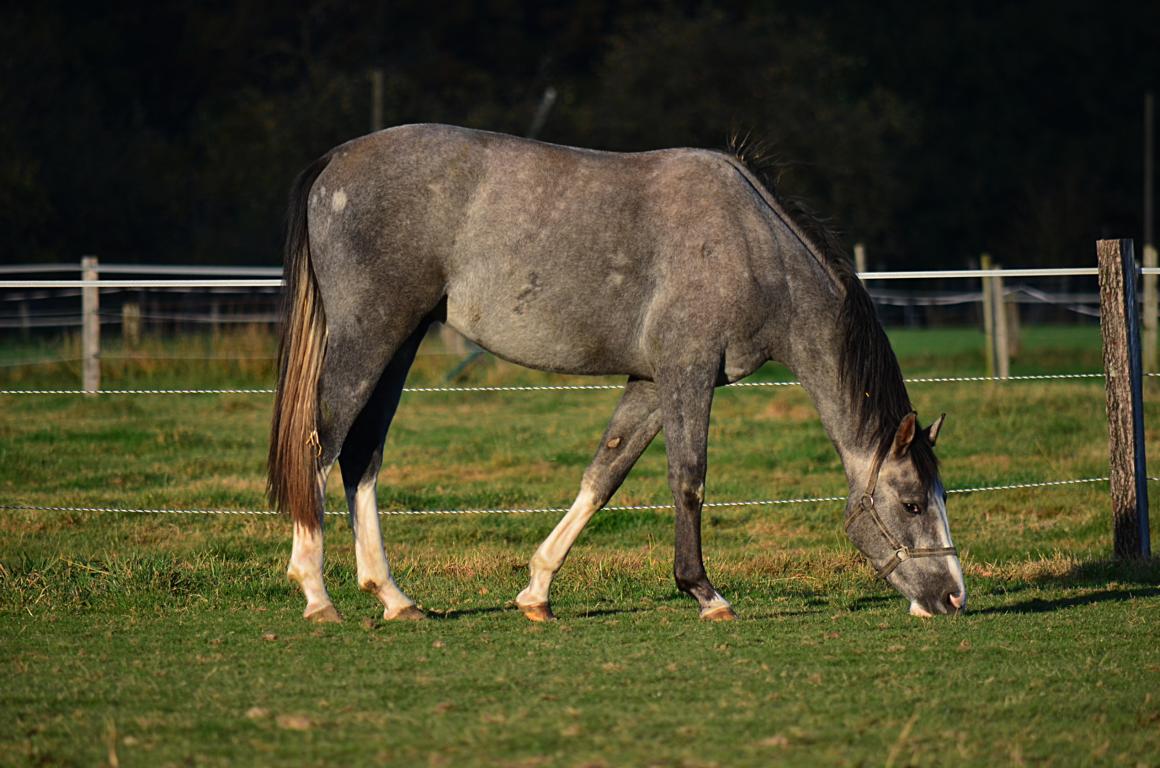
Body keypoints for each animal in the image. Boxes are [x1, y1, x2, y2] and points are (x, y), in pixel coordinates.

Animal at [266, 124, 965, 626]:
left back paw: (394, 597)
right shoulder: (687, 374)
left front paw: (537, 590)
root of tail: (334, 161)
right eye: (910, 502)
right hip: (368, 339)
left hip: (401, 343)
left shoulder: (651, 382)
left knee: (361, 455)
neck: (754, 246)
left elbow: (604, 475)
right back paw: (317, 594)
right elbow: (689, 479)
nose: (954, 598)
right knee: (320, 447)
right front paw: (705, 593)